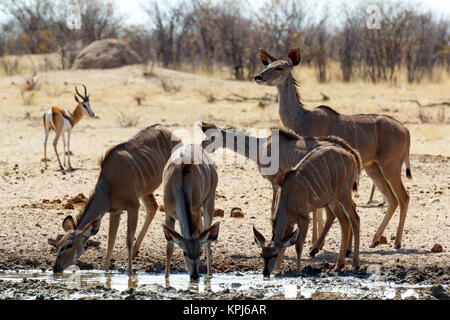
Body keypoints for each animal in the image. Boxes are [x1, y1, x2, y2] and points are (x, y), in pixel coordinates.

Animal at [52, 124, 179, 274]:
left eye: (69, 245)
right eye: (59, 244)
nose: (56, 268)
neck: (109, 184)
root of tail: (167, 130)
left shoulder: (133, 206)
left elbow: (128, 240)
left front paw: (130, 274)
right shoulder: (115, 211)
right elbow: (110, 241)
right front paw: (106, 272)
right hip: (145, 191)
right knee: (152, 207)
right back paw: (136, 251)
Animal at [163, 143, 221, 280]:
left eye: (199, 252)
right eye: (184, 252)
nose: (194, 275)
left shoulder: (195, 210)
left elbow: (202, 237)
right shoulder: (168, 213)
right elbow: (169, 248)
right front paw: (166, 278)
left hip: (209, 199)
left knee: (208, 240)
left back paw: (209, 275)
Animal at [253, 48, 412, 248]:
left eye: (279, 67)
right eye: (268, 65)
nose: (257, 76)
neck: (304, 119)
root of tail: (405, 130)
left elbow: (318, 209)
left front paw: (315, 242)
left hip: (390, 167)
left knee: (403, 197)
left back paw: (397, 242)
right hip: (374, 169)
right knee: (392, 199)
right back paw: (374, 240)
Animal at [253, 141, 362, 278]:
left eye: (274, 254)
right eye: (262, 254)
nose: (266, 273)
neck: (286, 198)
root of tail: (350, 155)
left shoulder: (304, 218)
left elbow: (298, 246)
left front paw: (298, 270)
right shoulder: (289, 223)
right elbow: (285, 244)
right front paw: (277, 269)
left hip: (343, 193)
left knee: (355, 218)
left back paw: (354, 265)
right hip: (332, 200)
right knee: (344, 221)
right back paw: (338, 265)